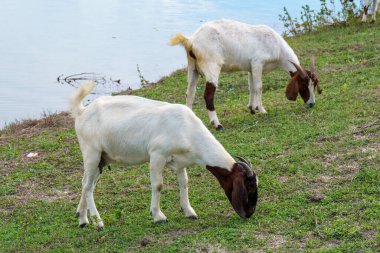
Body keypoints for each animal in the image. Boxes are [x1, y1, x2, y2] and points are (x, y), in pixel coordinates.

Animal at [70, 81, 258, 229]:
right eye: (249, 186)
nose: (249, 213)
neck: (187, 129)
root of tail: (82, 112)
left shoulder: (180, 161)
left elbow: (184, 182)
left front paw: (189, 211)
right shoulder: (157, 155)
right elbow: (158, 185)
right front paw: (158, 216)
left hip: (101, 159)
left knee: (87, 183)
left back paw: (82, 218)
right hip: (92, 153)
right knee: (88, 186)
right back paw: (98, 222)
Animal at [170, 19, 320, 129]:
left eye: (314, 85)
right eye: (303, 86)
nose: (311, 104)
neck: (276, 46)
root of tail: (191, 41)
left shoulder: (250, 68)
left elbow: (251, 87)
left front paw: (252, 109)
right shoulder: (258, 63)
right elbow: (259, 87)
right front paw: (262, 110)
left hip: (192, 68)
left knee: (190, 93)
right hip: (212, 67)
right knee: (208, 95)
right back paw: (217, 124)